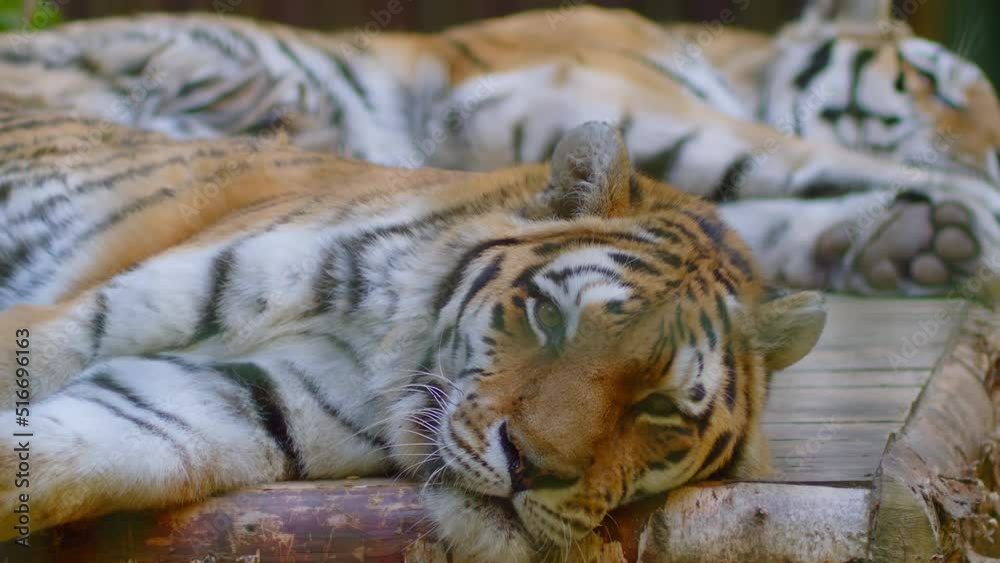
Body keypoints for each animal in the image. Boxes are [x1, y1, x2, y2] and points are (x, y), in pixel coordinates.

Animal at [0, 114, 826, 560]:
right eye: (553, 320)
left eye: (658, 405)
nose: (530, 467)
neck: (381, 341)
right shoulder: (79, 317)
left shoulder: (228, 399)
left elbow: (73, 444)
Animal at [1, 0, 998, 298]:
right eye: (938, 85)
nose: (990, 154)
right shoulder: (574, 97)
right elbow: (792, 159)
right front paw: (973, 220)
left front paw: (913, 243)